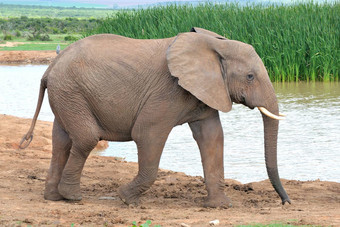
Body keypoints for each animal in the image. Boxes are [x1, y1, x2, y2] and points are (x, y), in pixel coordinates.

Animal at [19, 27, 290, 207]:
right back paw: (72, 197)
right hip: (71, 92)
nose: (285, 202)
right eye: (250, 77)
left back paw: (54, 197)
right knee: (86, 138)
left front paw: (220, 206)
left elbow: (212, 138)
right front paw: (126, 199)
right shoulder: (168, 91)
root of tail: (50, 68)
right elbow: (147, 134)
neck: (213, 44)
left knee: (61, 142)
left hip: (66, 95)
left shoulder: (206, 90)